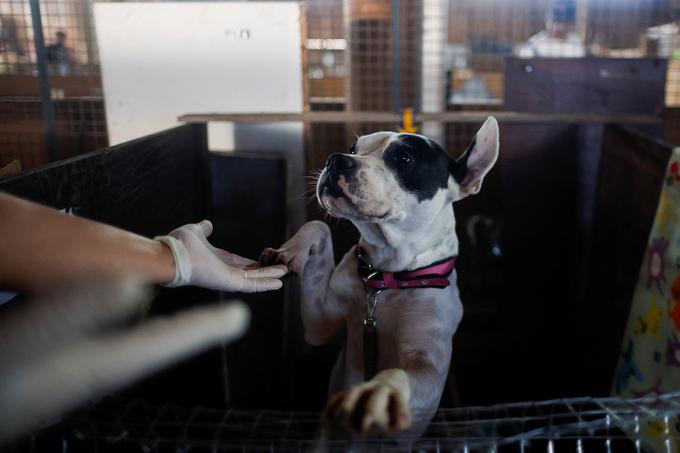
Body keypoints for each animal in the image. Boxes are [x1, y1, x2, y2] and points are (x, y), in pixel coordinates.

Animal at [260, 116, 500, 438]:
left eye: (404, 158)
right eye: (354, 148)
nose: (336, 159)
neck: (387, 276)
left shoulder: (427, 365)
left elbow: (400, 372)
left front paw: (380, 391)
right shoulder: (319, 324)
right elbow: (318, 226)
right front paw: (290, 250)